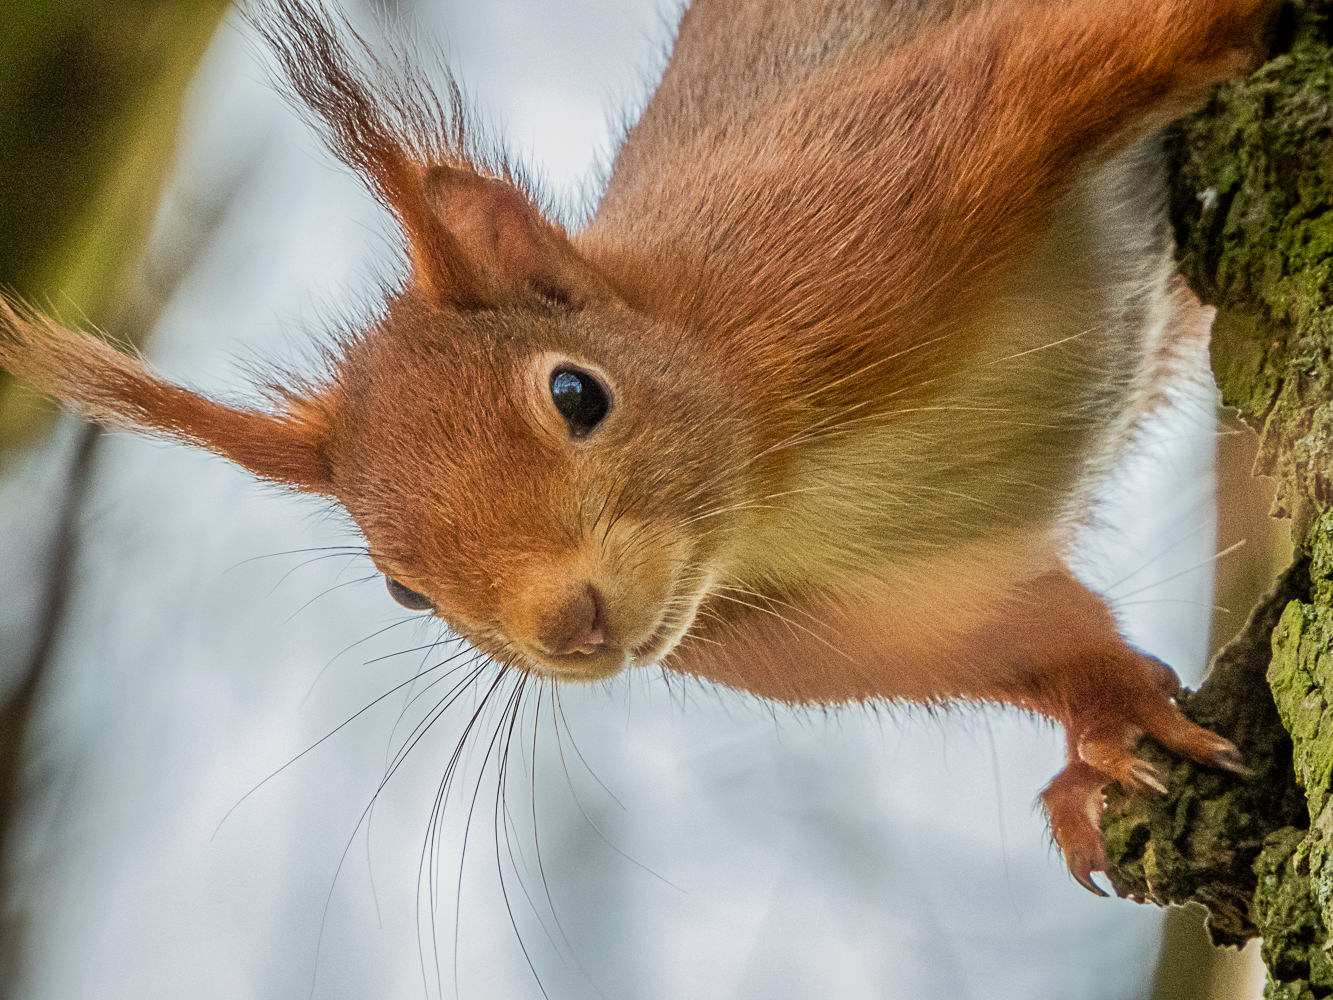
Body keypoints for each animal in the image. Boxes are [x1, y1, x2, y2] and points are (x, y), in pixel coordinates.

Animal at [0, 0, 1274, 890]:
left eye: (576, 393)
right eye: (403, 589)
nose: (569, 626)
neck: (773, 492)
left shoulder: (891, 182)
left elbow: (1106, 45)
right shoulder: (900, 607)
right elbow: (1039, 634)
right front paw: (1105, 735)